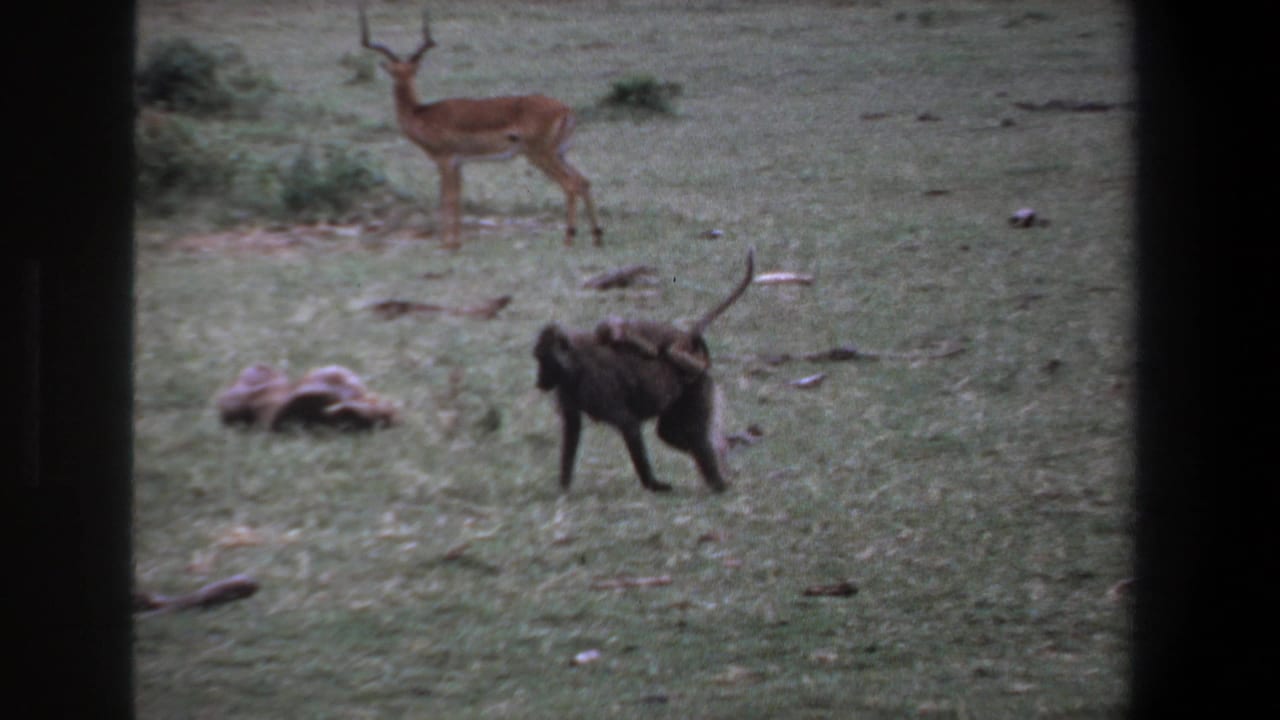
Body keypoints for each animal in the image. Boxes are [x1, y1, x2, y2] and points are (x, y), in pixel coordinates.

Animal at [359, 5, 602, 249]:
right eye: (398, 72)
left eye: (408, 71)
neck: (421, 113)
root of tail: (566, 109)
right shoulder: (458, 163)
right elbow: (457, 197)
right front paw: (455, 242)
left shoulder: (445, 160)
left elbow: (447, 198)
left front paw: (447, 244)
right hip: (559, 154)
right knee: (584, 181)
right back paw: (597, 236)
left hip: (540, 155)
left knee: (570, 184)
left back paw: (569, 237)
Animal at [533, 250, 754, 493]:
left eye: (543, 360)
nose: (539, 381)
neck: (574, 362)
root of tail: (691, 345)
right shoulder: (567, 388)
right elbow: (572, 428)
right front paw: (563, 487)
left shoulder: (597, 387)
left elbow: (629, 425)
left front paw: (653, 484)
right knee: (670, 435)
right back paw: (722, 454)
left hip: (696, 384)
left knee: (694, 437)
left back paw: (718, 482)